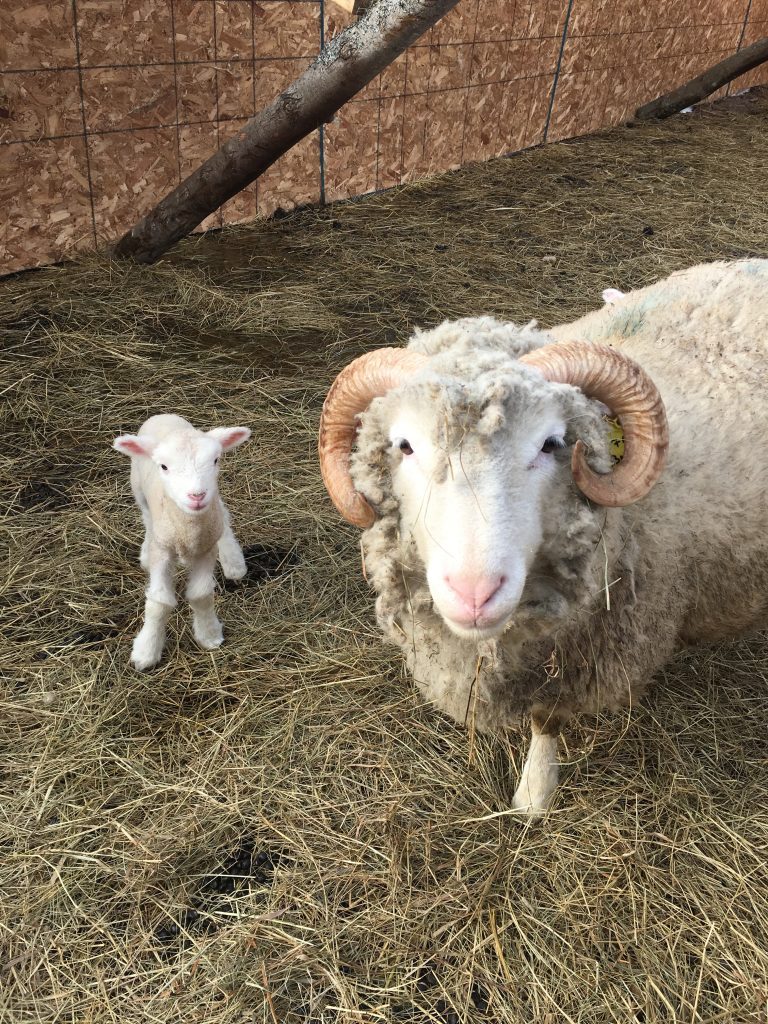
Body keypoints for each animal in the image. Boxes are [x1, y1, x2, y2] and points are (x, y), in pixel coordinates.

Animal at [112, 415, 250, 671]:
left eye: (215, 459)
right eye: (164, 466)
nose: (197, 495)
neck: (188, 531)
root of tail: (163, 415)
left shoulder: (206, 548)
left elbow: (201, 595)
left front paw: (209, 635)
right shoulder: (164, 551)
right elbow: (159, 602)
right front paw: (146, 650)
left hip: (214, 498)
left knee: (222, 513)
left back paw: (234, 562)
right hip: (139, 490)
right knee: (147, 518)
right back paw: (145, 552)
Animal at [317, 258, 768, 815]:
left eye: (552, 444)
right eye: (404, 445)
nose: (474, 593)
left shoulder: (572, 657)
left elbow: (545, 720)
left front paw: (534, 793)